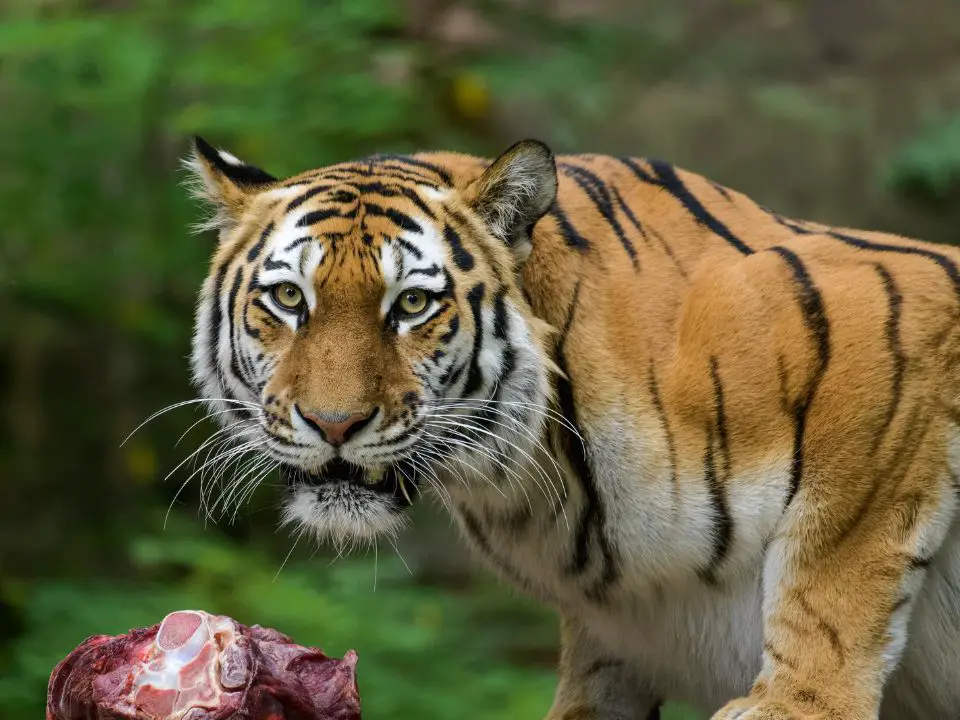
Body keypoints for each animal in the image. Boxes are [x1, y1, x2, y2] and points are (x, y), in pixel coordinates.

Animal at [184, 135, 960, 720]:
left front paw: (797, 702)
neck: (540, 475)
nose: (334, 423)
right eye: (289, 298)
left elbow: (834, 562)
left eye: (410, 305)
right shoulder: (613, 634)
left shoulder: (889, 346)